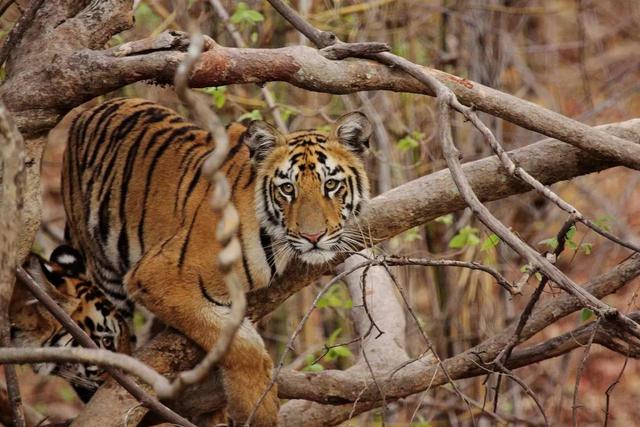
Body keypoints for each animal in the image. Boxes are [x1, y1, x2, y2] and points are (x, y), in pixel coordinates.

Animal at [61, 98, 370, 424]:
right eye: (288, 189)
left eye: (331, 185)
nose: (313, 236)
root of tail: (91, 109)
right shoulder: (157, 276)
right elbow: (241, 345)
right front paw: (257, 408)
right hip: (104, 272)